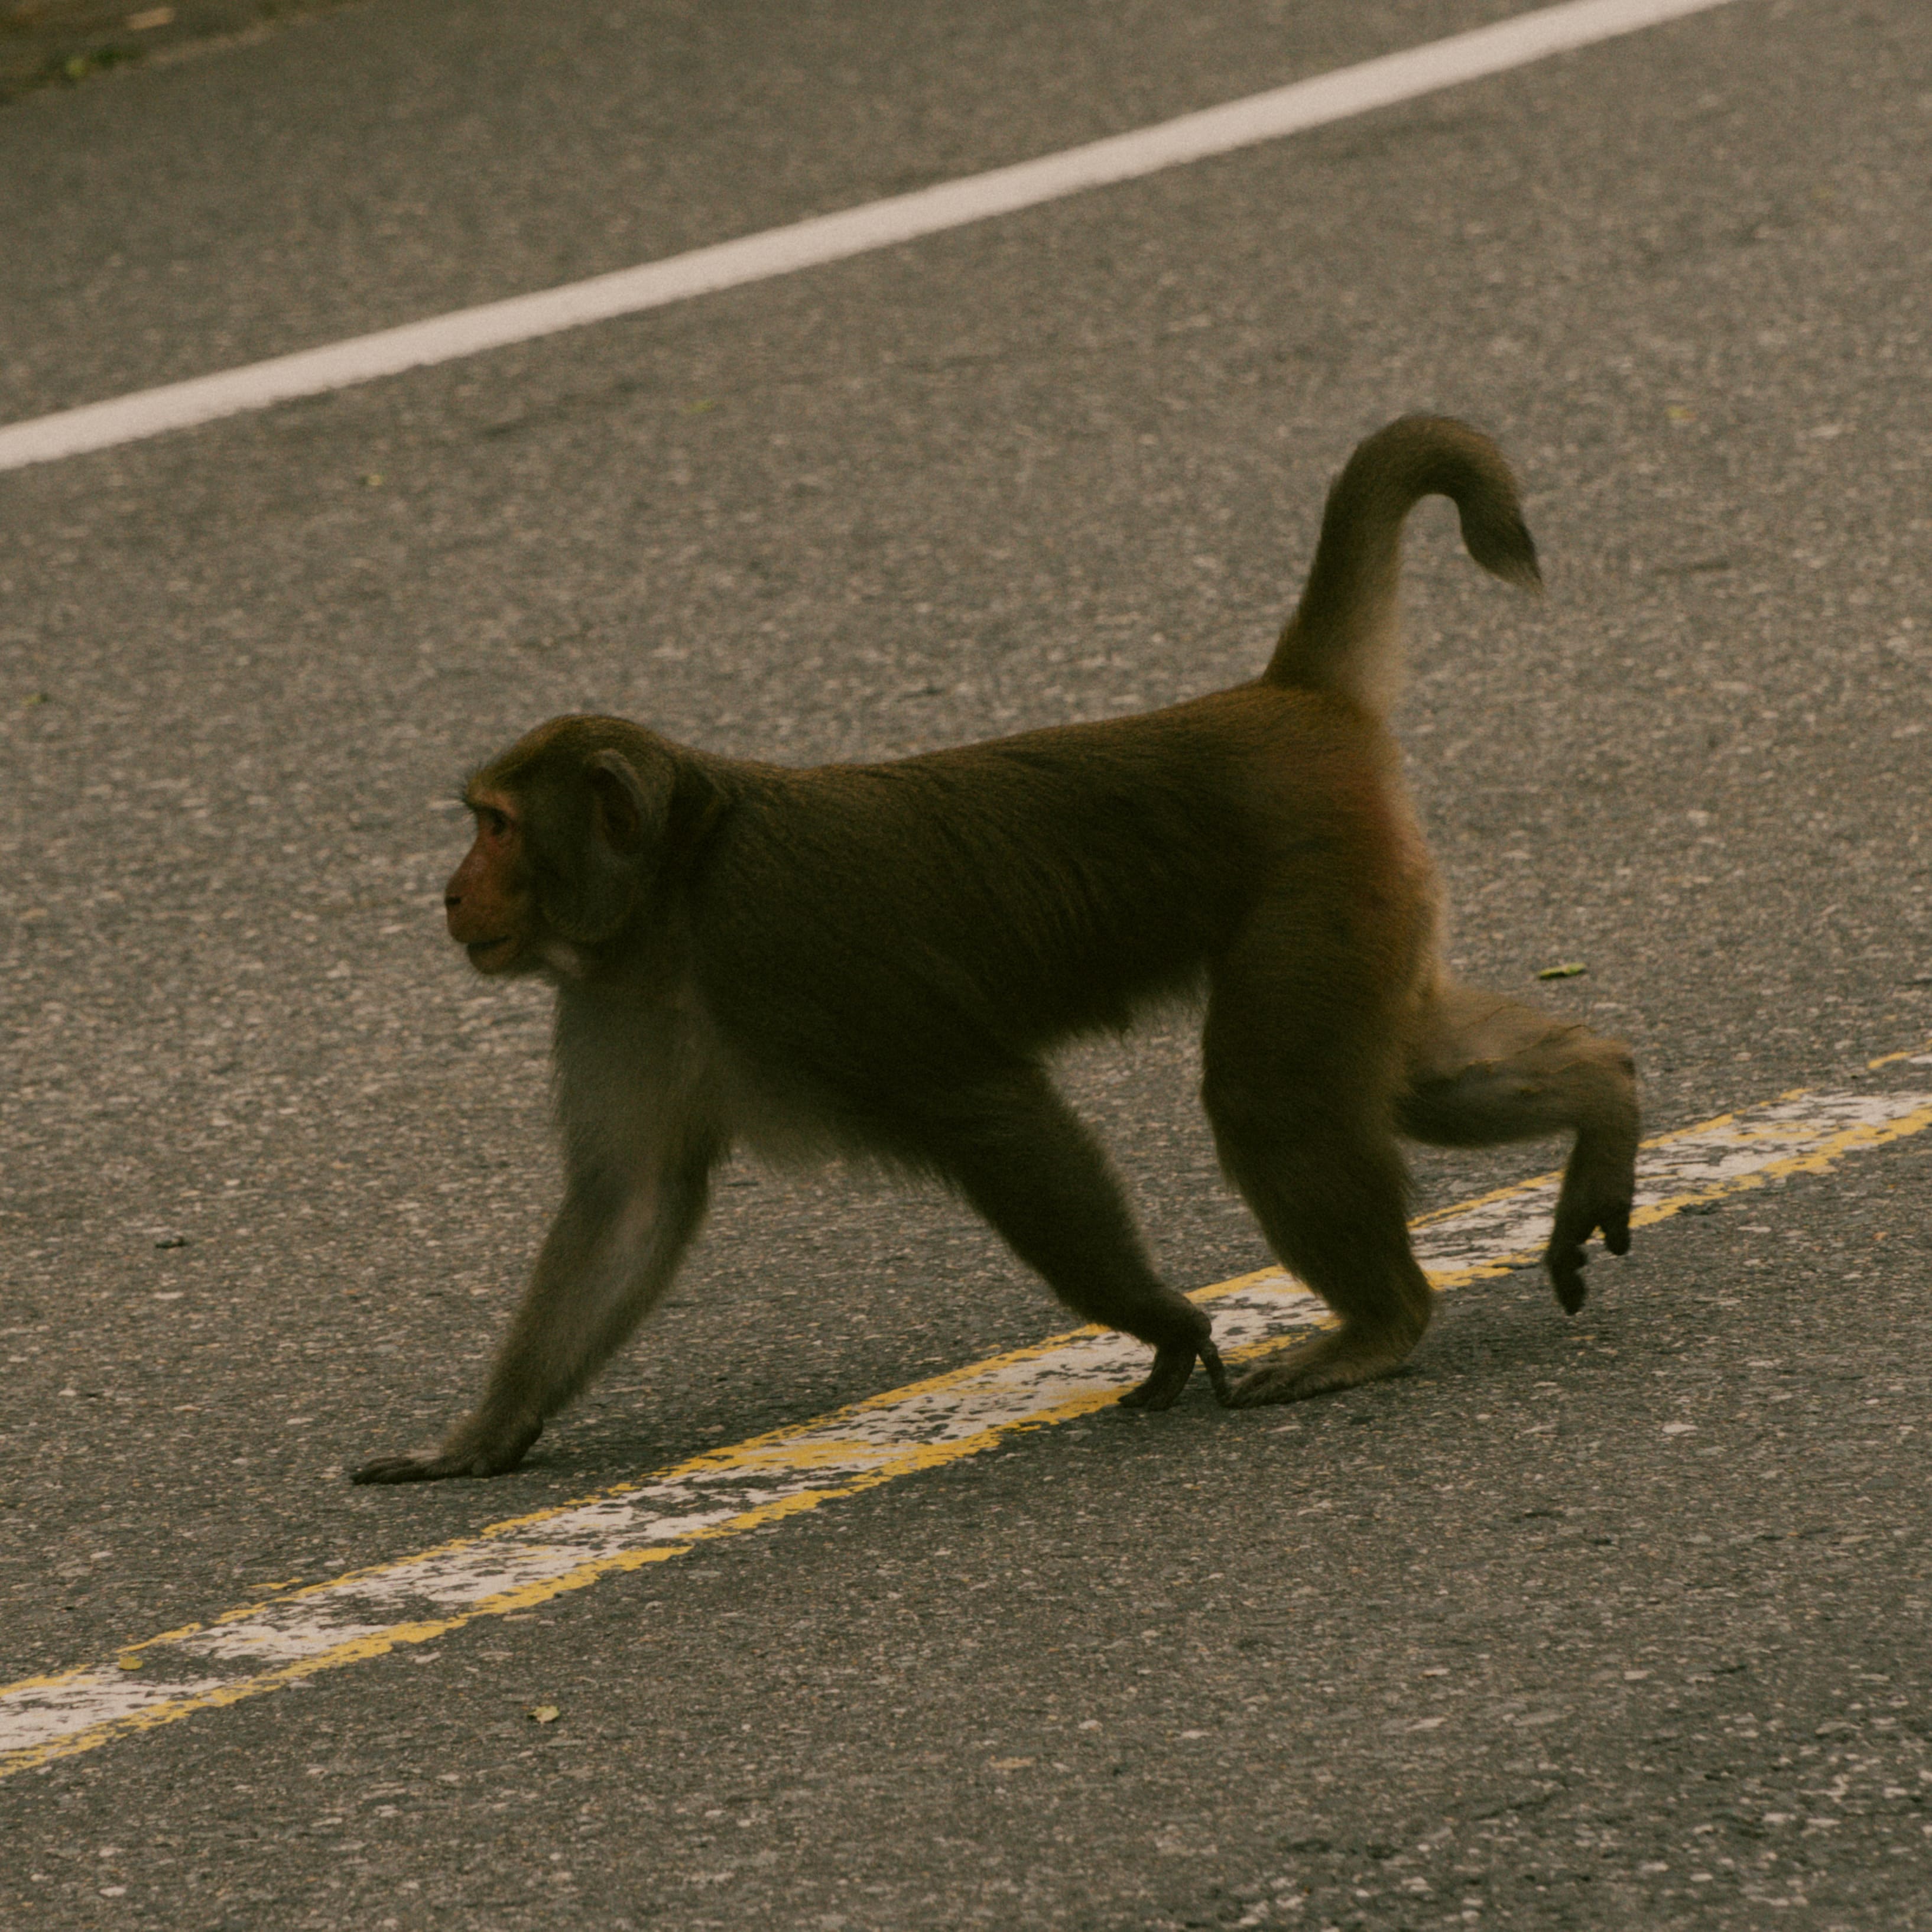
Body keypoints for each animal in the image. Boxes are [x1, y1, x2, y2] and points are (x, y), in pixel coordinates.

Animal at [348, 415, 1631, 1483]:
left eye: (495, 826)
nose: (448, 891)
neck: (676, 902)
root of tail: (1283, 699)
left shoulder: (795, 950)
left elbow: (995, 1114)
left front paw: (1163, 1321)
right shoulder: (613, 1000)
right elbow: (629, 1202)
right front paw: (478, 1437)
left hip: (1315, 873)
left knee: (1270, 1095)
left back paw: (1378, 1324)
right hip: (1365, 891)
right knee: (1402, 1074)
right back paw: (1605, 1093)